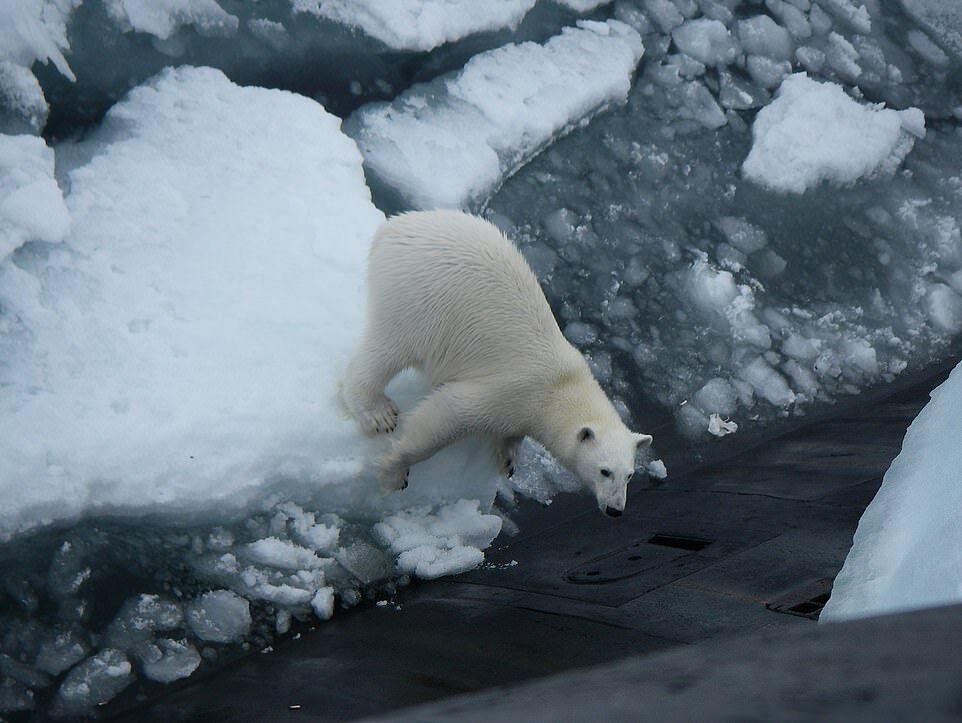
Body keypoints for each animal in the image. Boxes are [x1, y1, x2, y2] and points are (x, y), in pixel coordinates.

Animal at [340, 208, 652, 516]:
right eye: (604, 471)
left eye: (630, 474)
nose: (615, 509)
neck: (562, 387)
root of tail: (392, 228)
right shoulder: (513, 390)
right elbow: (447, 414)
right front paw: (394, 472)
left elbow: (511, 433)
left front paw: (508, 458)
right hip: (417, 300)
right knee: (387, 350)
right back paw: (377, 412)